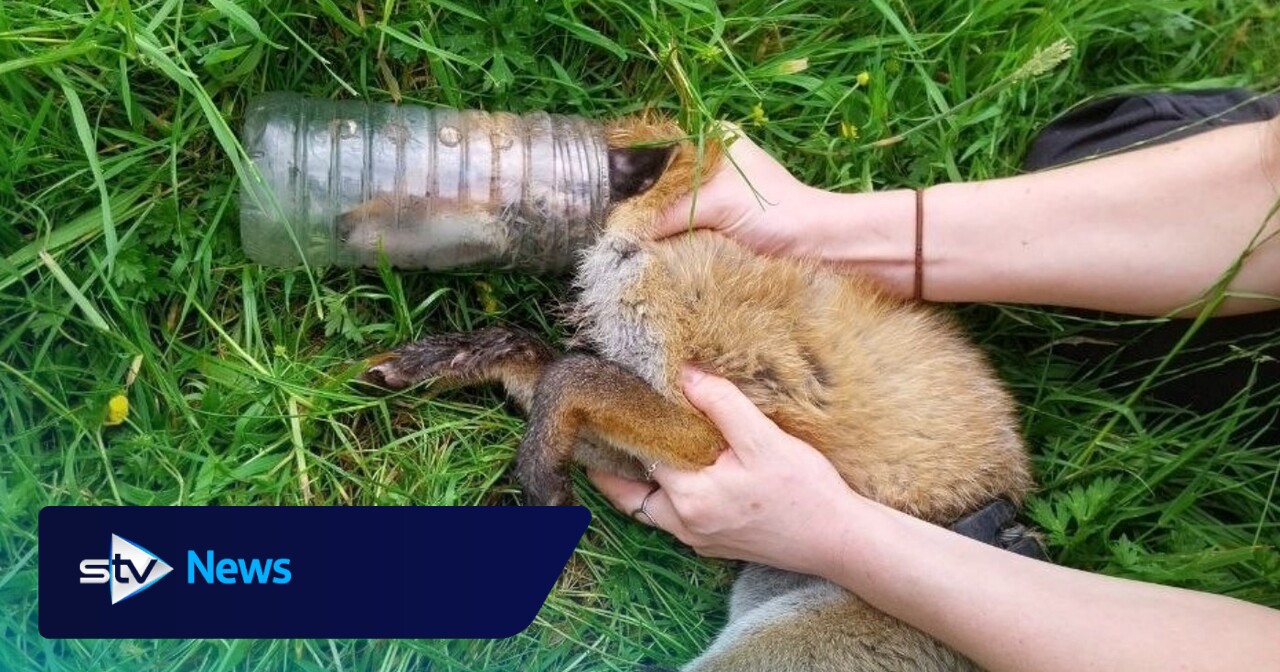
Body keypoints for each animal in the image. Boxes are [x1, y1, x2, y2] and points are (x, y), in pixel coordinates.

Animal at [357, 116, 1037, 671]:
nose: (366, 218)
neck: (650, 257)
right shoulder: (637, 443)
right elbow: (531, 358)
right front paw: (434, 361)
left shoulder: (716, 425)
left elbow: (572, 374)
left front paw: (540, 481)